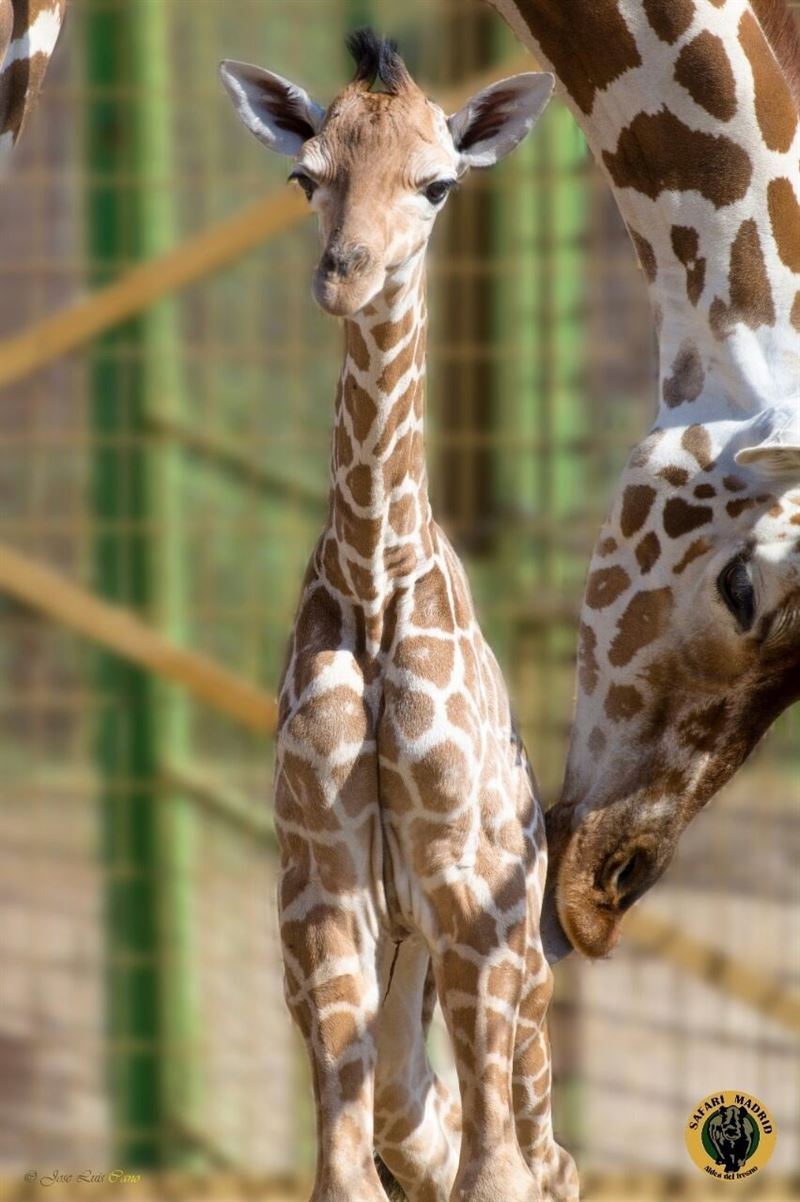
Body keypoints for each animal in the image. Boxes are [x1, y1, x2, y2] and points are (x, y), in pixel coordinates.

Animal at [221, 30, 577, 1202]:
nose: (346, 274)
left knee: (544, 1154)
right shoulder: (321, 881)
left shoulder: (470, 891)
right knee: (417, 1115)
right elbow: (349, 1167)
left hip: (519, 968)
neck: (376, 584)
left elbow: (496, 1173)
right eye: (305, 176)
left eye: (437, 184)